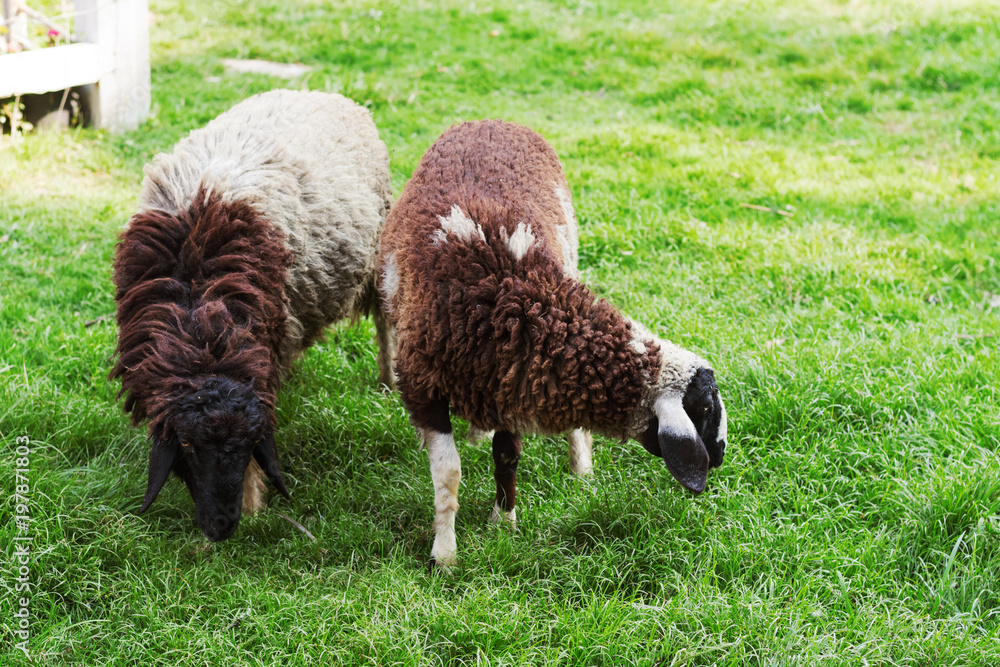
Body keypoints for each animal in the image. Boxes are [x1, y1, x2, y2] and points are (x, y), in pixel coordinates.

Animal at [109, 88, 390, 544]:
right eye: (186, 446)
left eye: (247, 444)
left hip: (377, 250)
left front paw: (255, 505)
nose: (221, 526)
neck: (200, 324)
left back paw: (388, 378)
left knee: (385, 317)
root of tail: (321, 91)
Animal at [376, 120, 728, 568]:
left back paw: (579, 468)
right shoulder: (426, 385)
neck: (511, 297)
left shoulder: (510, 381)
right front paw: (445, 554)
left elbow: (507, 455)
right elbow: (448, 474)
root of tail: (493, 120)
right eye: (705, 408)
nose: (720, 455)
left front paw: (503, 524)